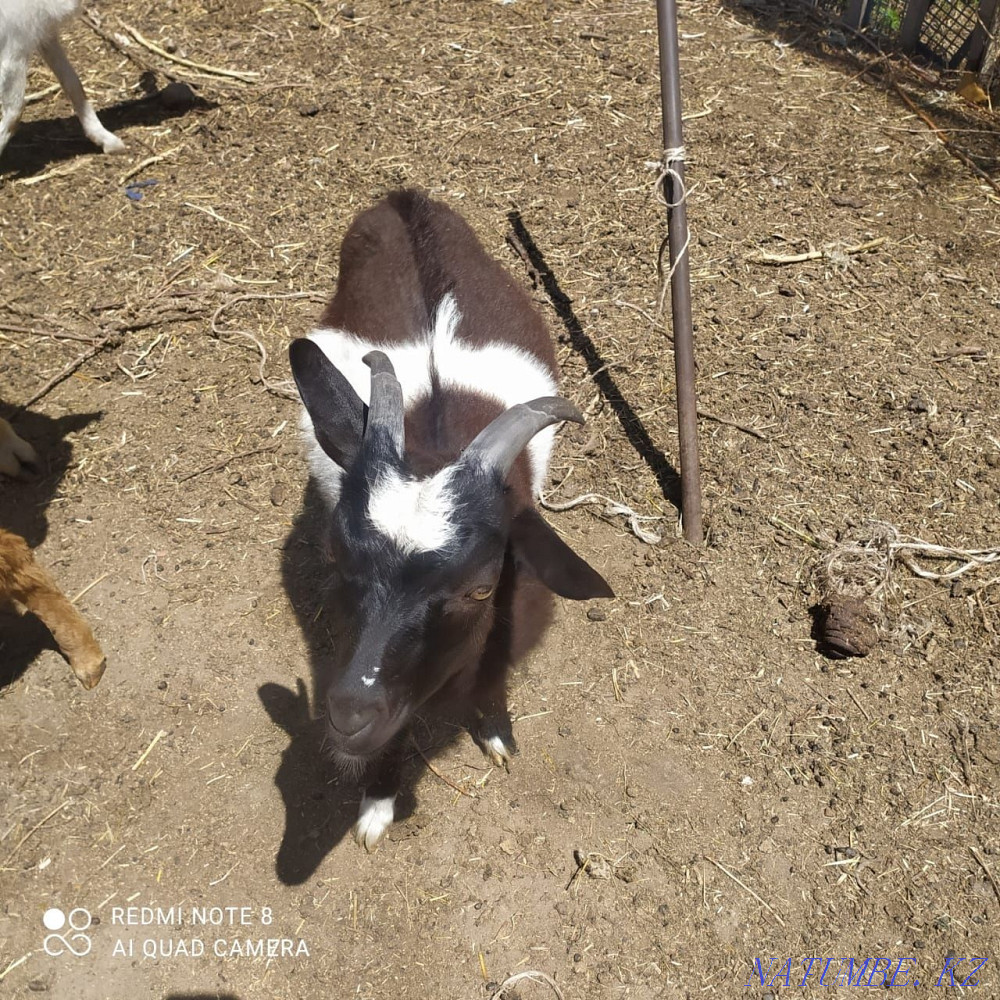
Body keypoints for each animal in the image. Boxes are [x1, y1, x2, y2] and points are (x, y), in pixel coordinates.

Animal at [288, 189, 613, 850]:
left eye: (480, 587)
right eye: (336, 556)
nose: (349, 716)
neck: (436, 443)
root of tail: (402, 199)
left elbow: (492, 674)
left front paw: (496, 732)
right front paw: (377, 803)